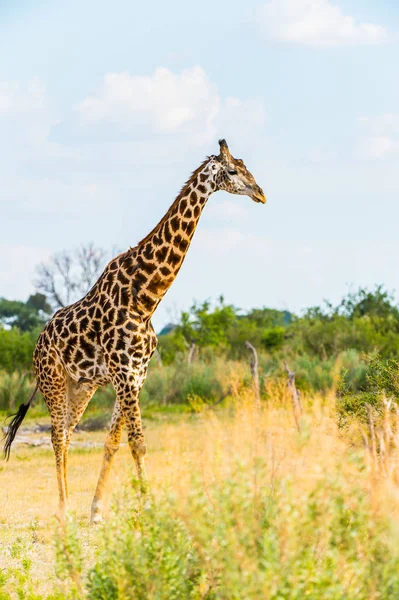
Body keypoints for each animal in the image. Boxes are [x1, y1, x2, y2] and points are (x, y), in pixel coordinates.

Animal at [3, 138, 268, 524]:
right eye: (233, 170)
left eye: (248, 166)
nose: (261, 193)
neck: (146, 295)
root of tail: (37, 344)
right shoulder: (125, 373)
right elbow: (139, 442)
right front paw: (150, 508)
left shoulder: (136, 375)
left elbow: (114, 441)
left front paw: (97, 511)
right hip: (53, 380)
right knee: (57, 436)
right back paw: (63, 510)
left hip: (81, 386)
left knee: (67, 432)